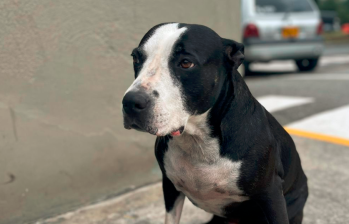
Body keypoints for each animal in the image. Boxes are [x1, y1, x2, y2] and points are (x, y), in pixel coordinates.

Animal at [122, 23, 308, 224]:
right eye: (136, 58)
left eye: (186, 63)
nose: (130, 102)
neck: (199, 141)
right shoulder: (170, 188)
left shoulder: (271, 195)